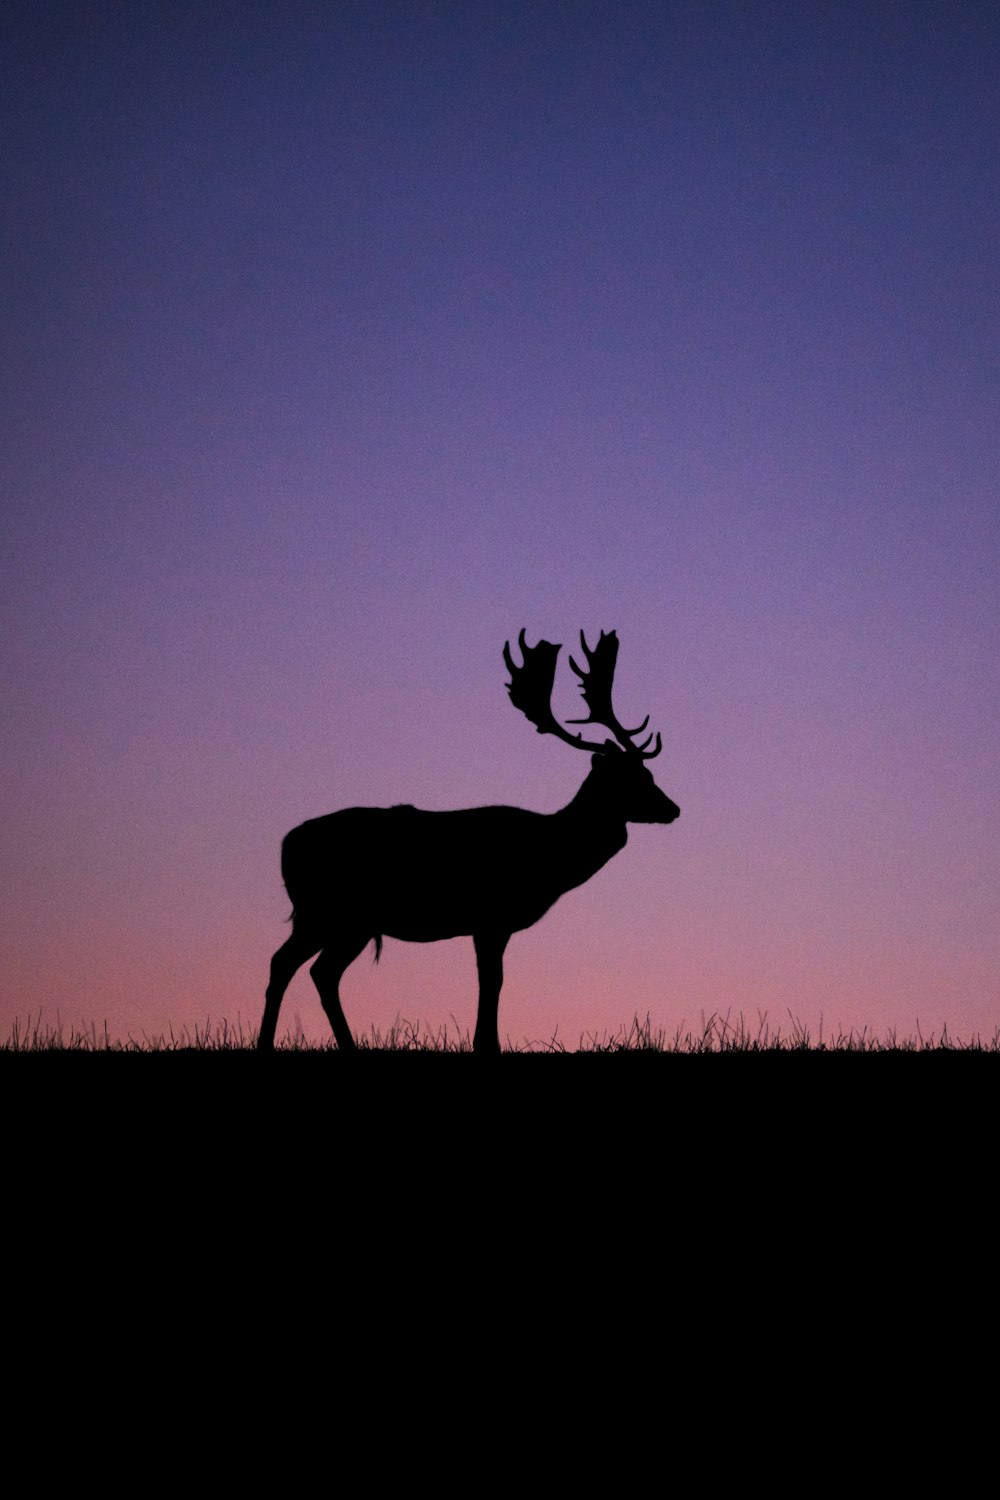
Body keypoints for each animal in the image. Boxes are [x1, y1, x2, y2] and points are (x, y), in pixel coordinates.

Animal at [257, 627, 680, 1050]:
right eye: (632, 779)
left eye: (648, 774)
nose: (673, 808)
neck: (549, 855)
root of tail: (286, 845)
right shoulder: (490, 916)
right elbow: (492, 981)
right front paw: (487, 1044)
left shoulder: (492, 924)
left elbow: (491, 981)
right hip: (326, 910)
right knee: (287, 963)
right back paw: (269, 1043)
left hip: (348, 921)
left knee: (319, 971)